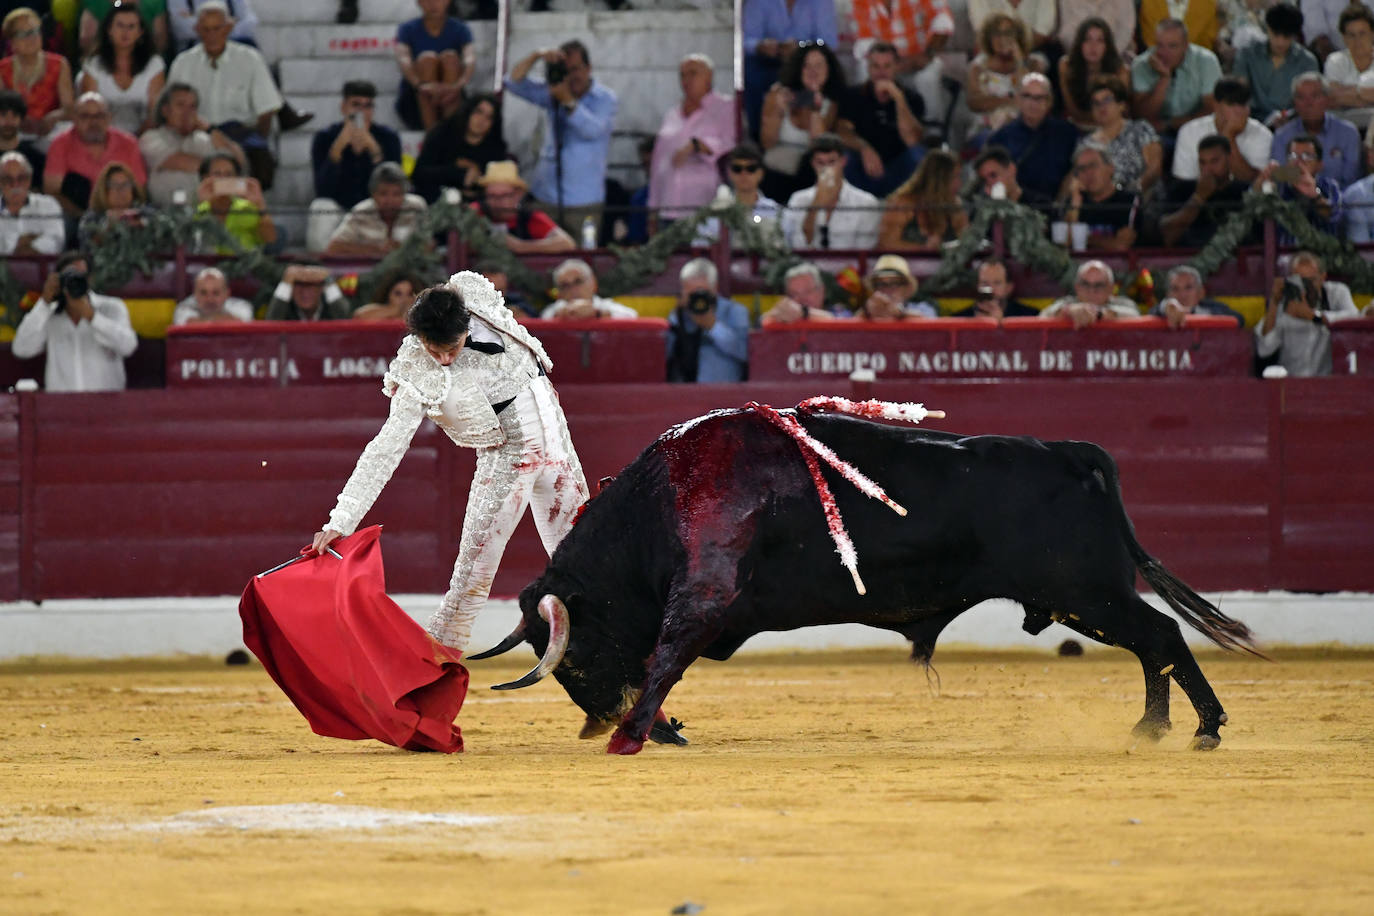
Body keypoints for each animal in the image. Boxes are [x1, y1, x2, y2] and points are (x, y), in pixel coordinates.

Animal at [478, 406, 1258, 752]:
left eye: (573, 654)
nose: (595, 721)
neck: (659, 503)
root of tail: (1072, 450)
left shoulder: (704, 592)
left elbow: (667, 655)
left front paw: (634, 735)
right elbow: (661, 660)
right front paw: (655, 730)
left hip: (1084, 591)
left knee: (1160, 635)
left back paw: (1202, 728)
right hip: (1080, 598)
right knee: (1152, 642)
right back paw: (1152, 727)